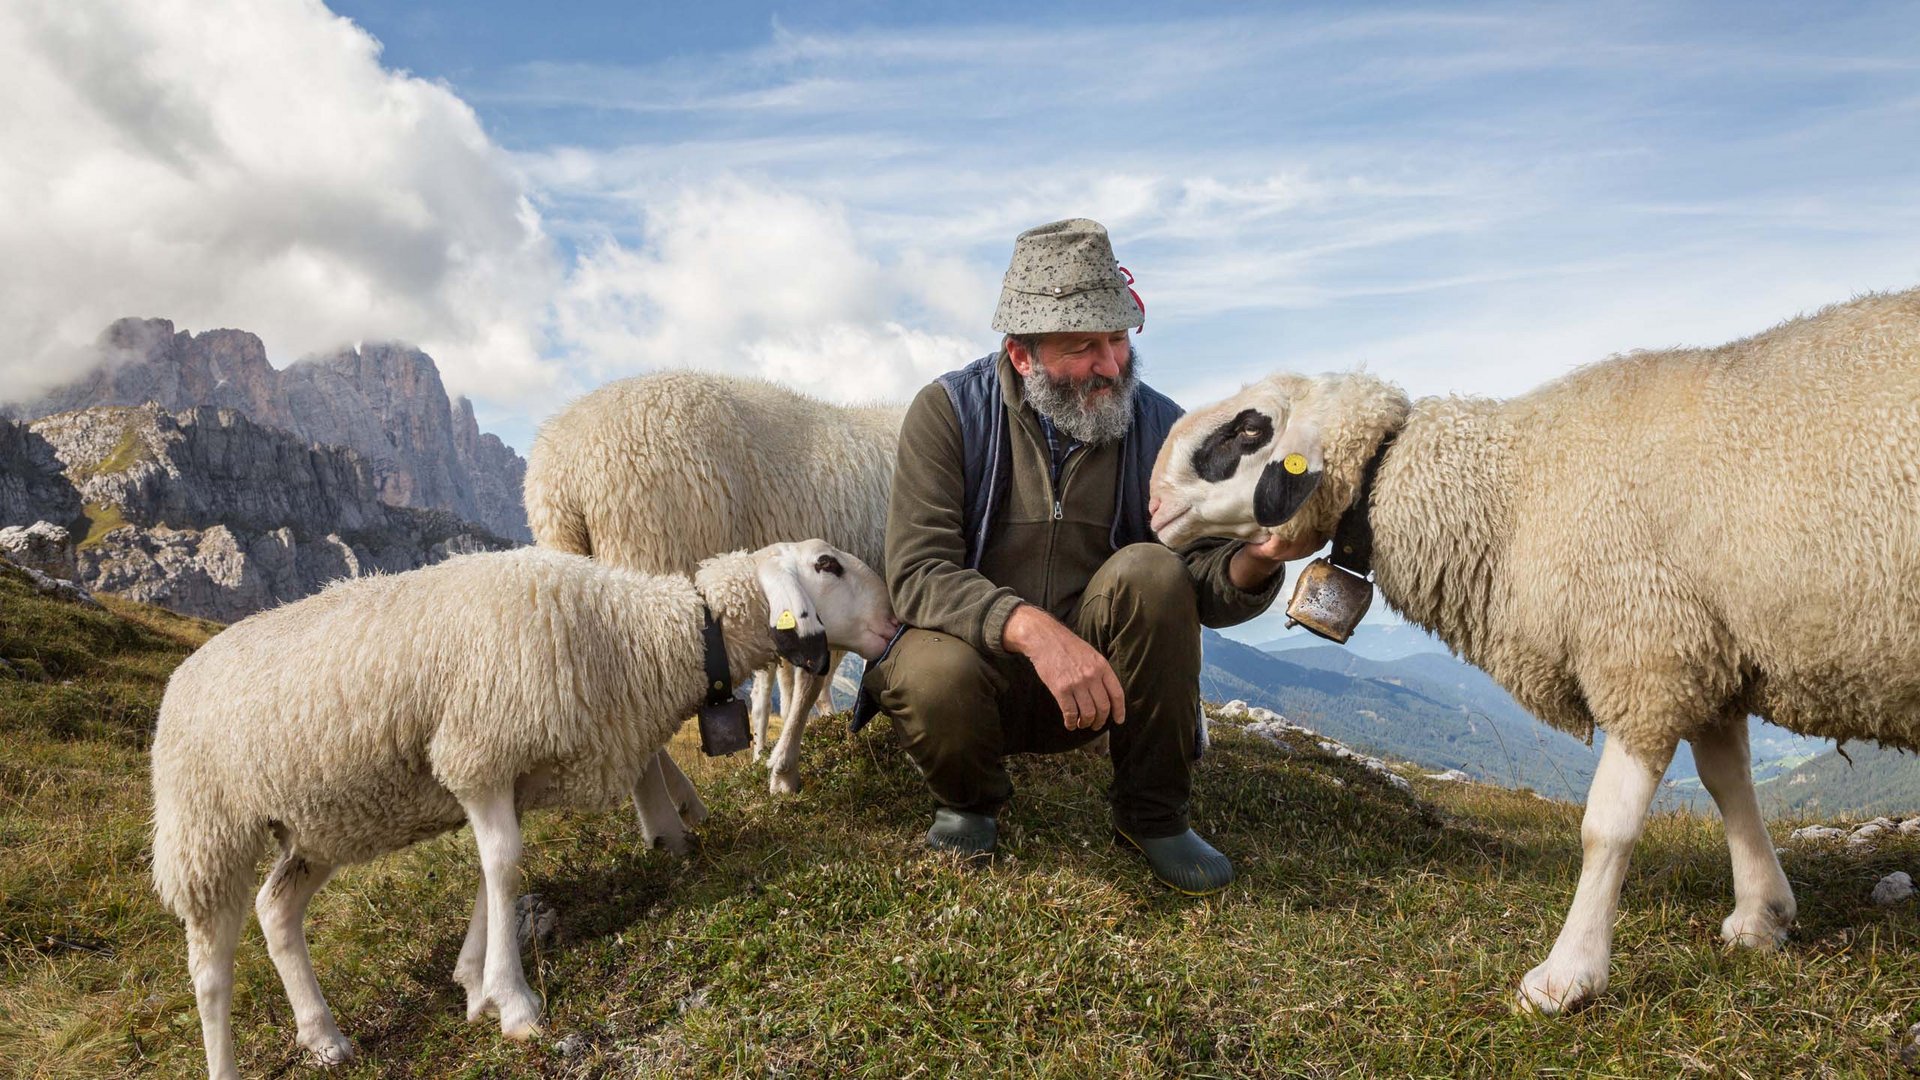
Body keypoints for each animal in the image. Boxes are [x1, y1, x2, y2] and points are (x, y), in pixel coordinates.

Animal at [151, 538, 898, 1076]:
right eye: (827, 564)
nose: (895, 621)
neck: (637, 633)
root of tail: (179, 679)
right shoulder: (475, 753)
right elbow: (506, 864)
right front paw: (514, 1006)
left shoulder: (502, 772)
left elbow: (495, 873)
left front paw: (475, 983)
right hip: (207, 828)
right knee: (209, 967)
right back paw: (227, 1062)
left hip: (319, 825)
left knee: (276, 910)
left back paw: (323, 1036)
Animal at [1144, 286, 1920, 1006]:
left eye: (1250, 427)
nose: (1151, 502)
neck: (1515, 492)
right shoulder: (1698, 649)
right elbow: (1729, 784)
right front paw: (1763, 915)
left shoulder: (1640, 652)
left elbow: (1607, 827)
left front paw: (1567, 977)